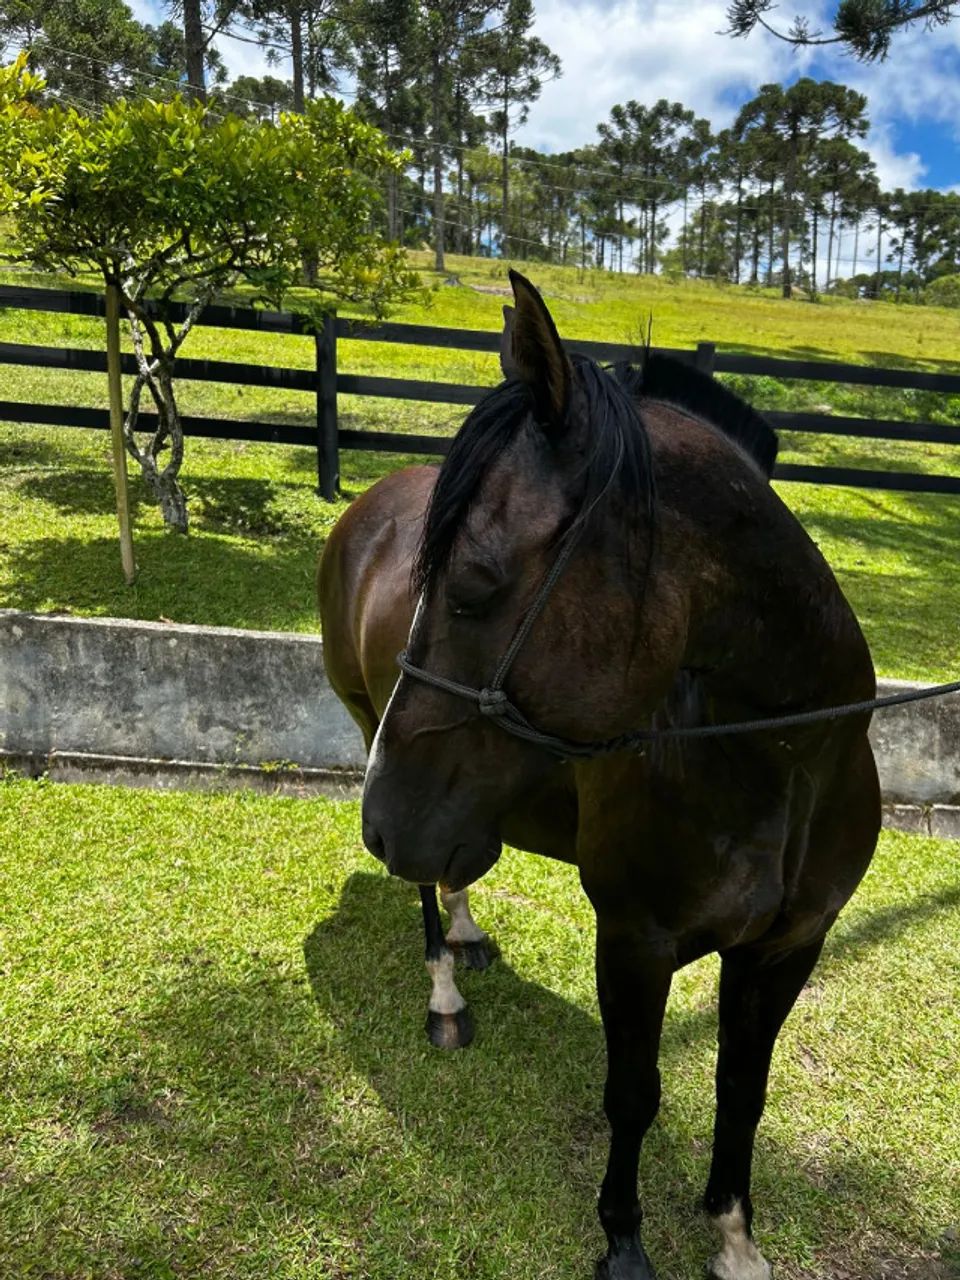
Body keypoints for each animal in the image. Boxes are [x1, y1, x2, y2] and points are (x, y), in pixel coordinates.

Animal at [318, 270, 880, 1280]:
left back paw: (464, 931)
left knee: (453, 871)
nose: (383, 821)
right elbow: (635, 1094)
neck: (787, 765)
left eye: (472, 581)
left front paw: (733, 1233)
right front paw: (623, 1238)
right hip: (377, 739)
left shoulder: (790, 947)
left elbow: (742, 1088)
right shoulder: (633, 943)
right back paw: (445, 993)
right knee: (426, 889)